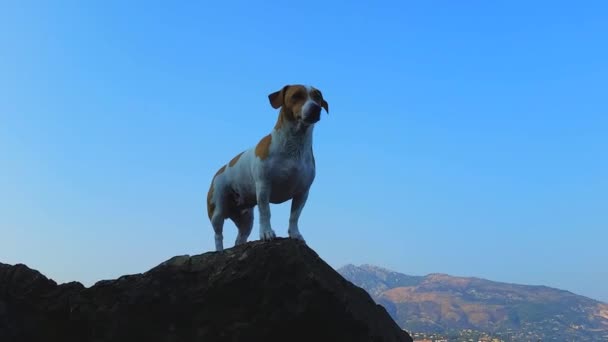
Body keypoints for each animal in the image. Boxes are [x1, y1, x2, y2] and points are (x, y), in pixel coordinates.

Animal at [205, 85, 330, 251]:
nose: (316, 108)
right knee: (218, 235)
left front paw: (295, 234)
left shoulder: (303, 192)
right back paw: (219, 251)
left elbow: (294, 216)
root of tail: (218, 172)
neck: (294, 144)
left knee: (240, 238)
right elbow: (265, 212)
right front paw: (266, 233)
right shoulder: (264, 185)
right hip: (217, 211)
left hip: (246, 219)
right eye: (296, 96)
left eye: (317, 97)